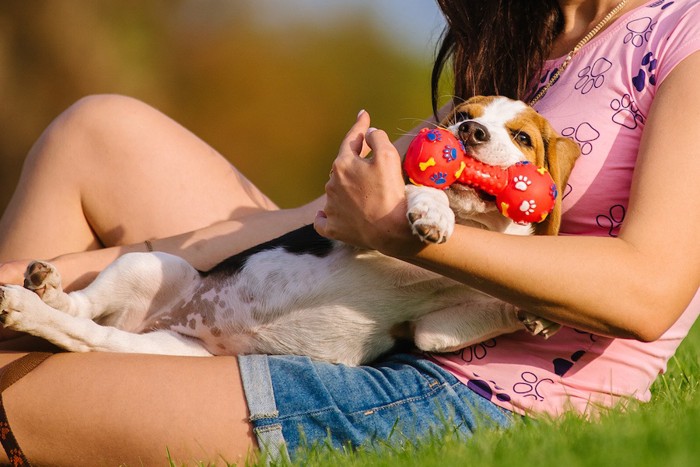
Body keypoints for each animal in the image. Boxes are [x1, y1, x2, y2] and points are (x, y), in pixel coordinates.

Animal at [0, 95, 580, 366]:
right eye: (461, 114)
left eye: (522, 138)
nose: (470, 131)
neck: (480, 223)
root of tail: (161, 322)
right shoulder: (347, 228)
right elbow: (424, 191)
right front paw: (432, 212)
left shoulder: (433, 331)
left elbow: (479, 311)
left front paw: (530, 313)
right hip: (152, 263)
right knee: (82, 309)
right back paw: (37, 294)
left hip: (161, 348)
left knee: (87, 335)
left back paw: (42, 302)